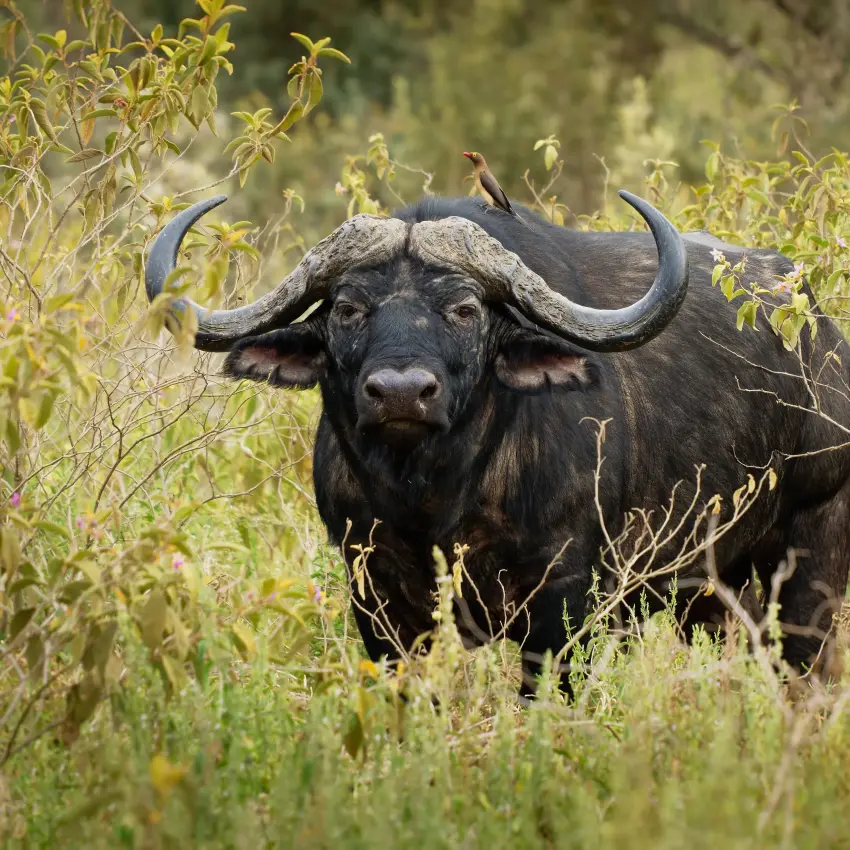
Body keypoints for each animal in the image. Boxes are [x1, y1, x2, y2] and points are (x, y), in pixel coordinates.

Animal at [145, 191, 850, 695]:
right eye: (347, 307)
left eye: (465, 309)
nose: (401, 393)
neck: (434, 495)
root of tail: (819, 335)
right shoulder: (377, 597)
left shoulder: (565, 606)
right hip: (711, 591)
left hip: (810, 557)